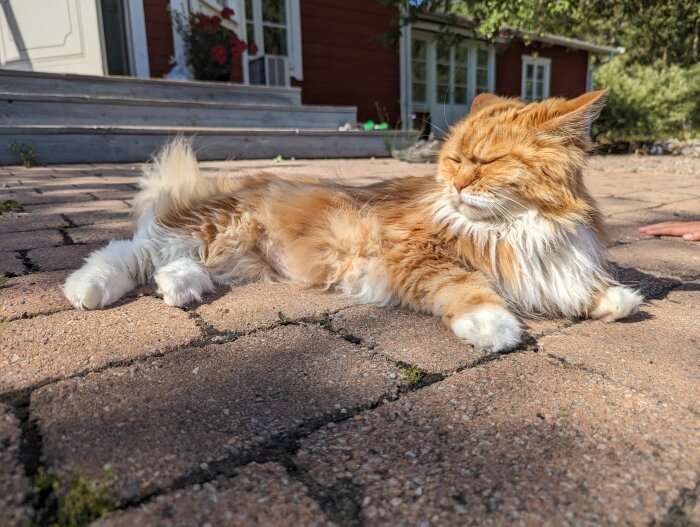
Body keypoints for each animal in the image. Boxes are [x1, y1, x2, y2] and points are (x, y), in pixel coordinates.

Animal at [63, 91, 644, 352]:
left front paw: (613, 299)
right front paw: (493, 325)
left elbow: (575, 285)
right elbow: (465, 285)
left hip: (232, 257)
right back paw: (87, 289)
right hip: (214, 226)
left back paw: (180, 290)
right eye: (456, 160)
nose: (457, 186)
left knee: (173, 264)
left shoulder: (549, 260)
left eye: (487, 162)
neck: (513, 227)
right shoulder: (415, 250)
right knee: (129, 250)